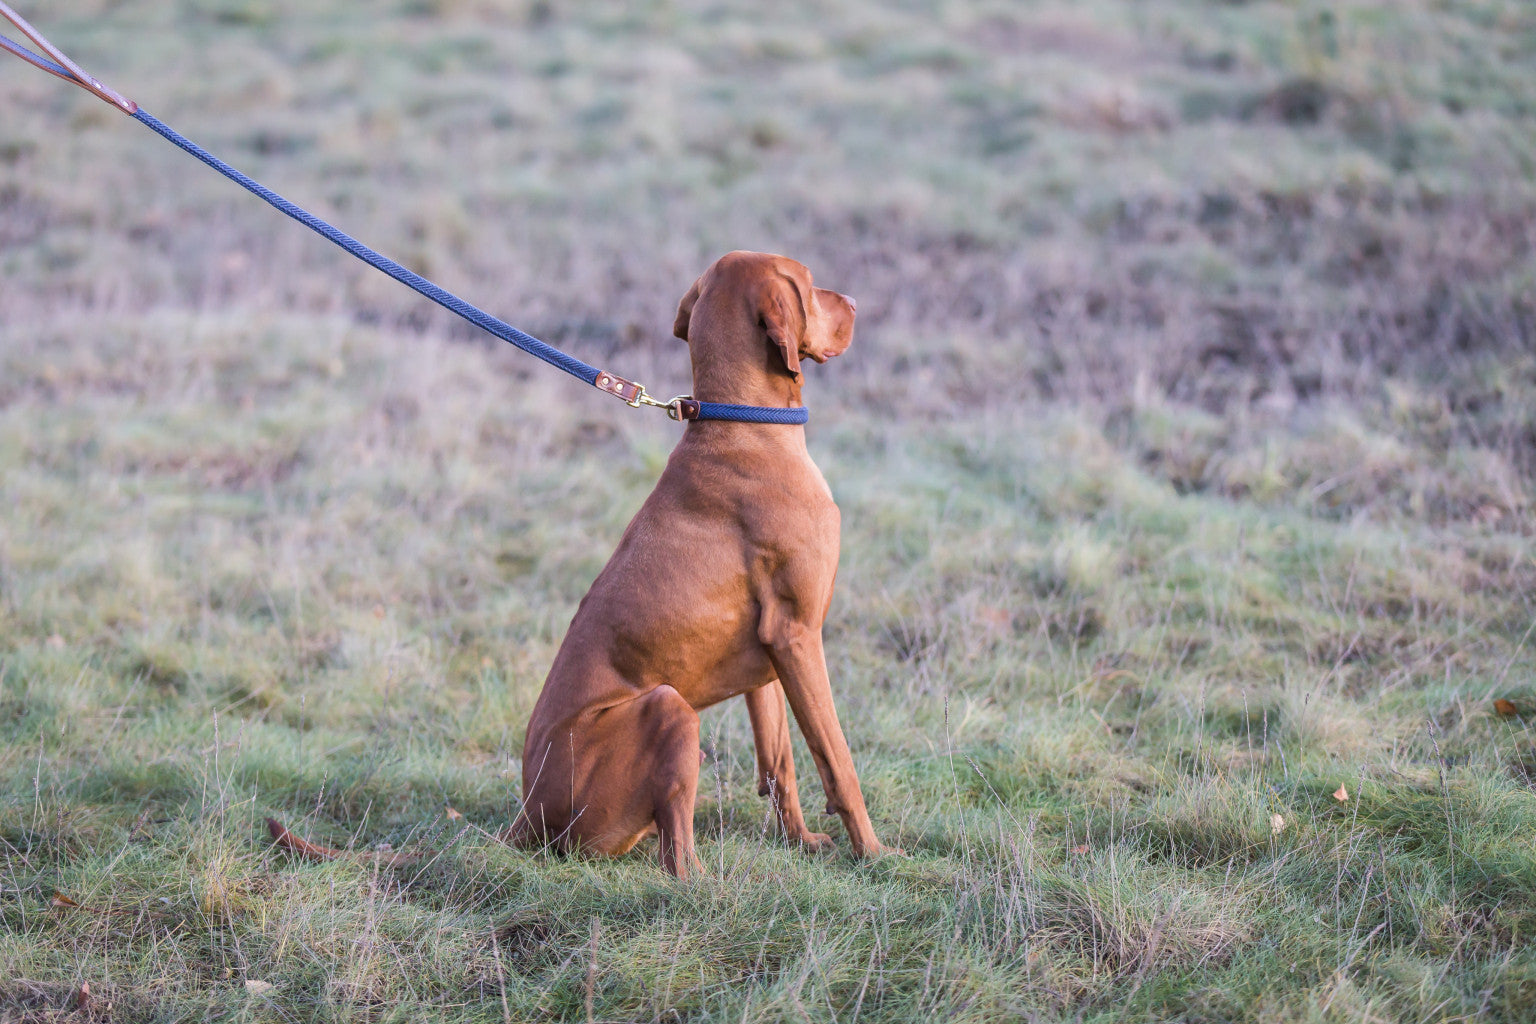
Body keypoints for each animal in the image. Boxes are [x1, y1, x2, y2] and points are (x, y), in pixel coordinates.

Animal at [509, 251, 897, 878]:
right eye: (811, 285)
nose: (859, 303)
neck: (746, 424)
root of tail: (527, 814)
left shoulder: (771, 655)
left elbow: (780, 762)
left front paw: (801, 841)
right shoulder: (799, 635)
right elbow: (836, 760)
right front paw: (875, 853)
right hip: (670, 707)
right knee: (677, 854)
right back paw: (702, 879)